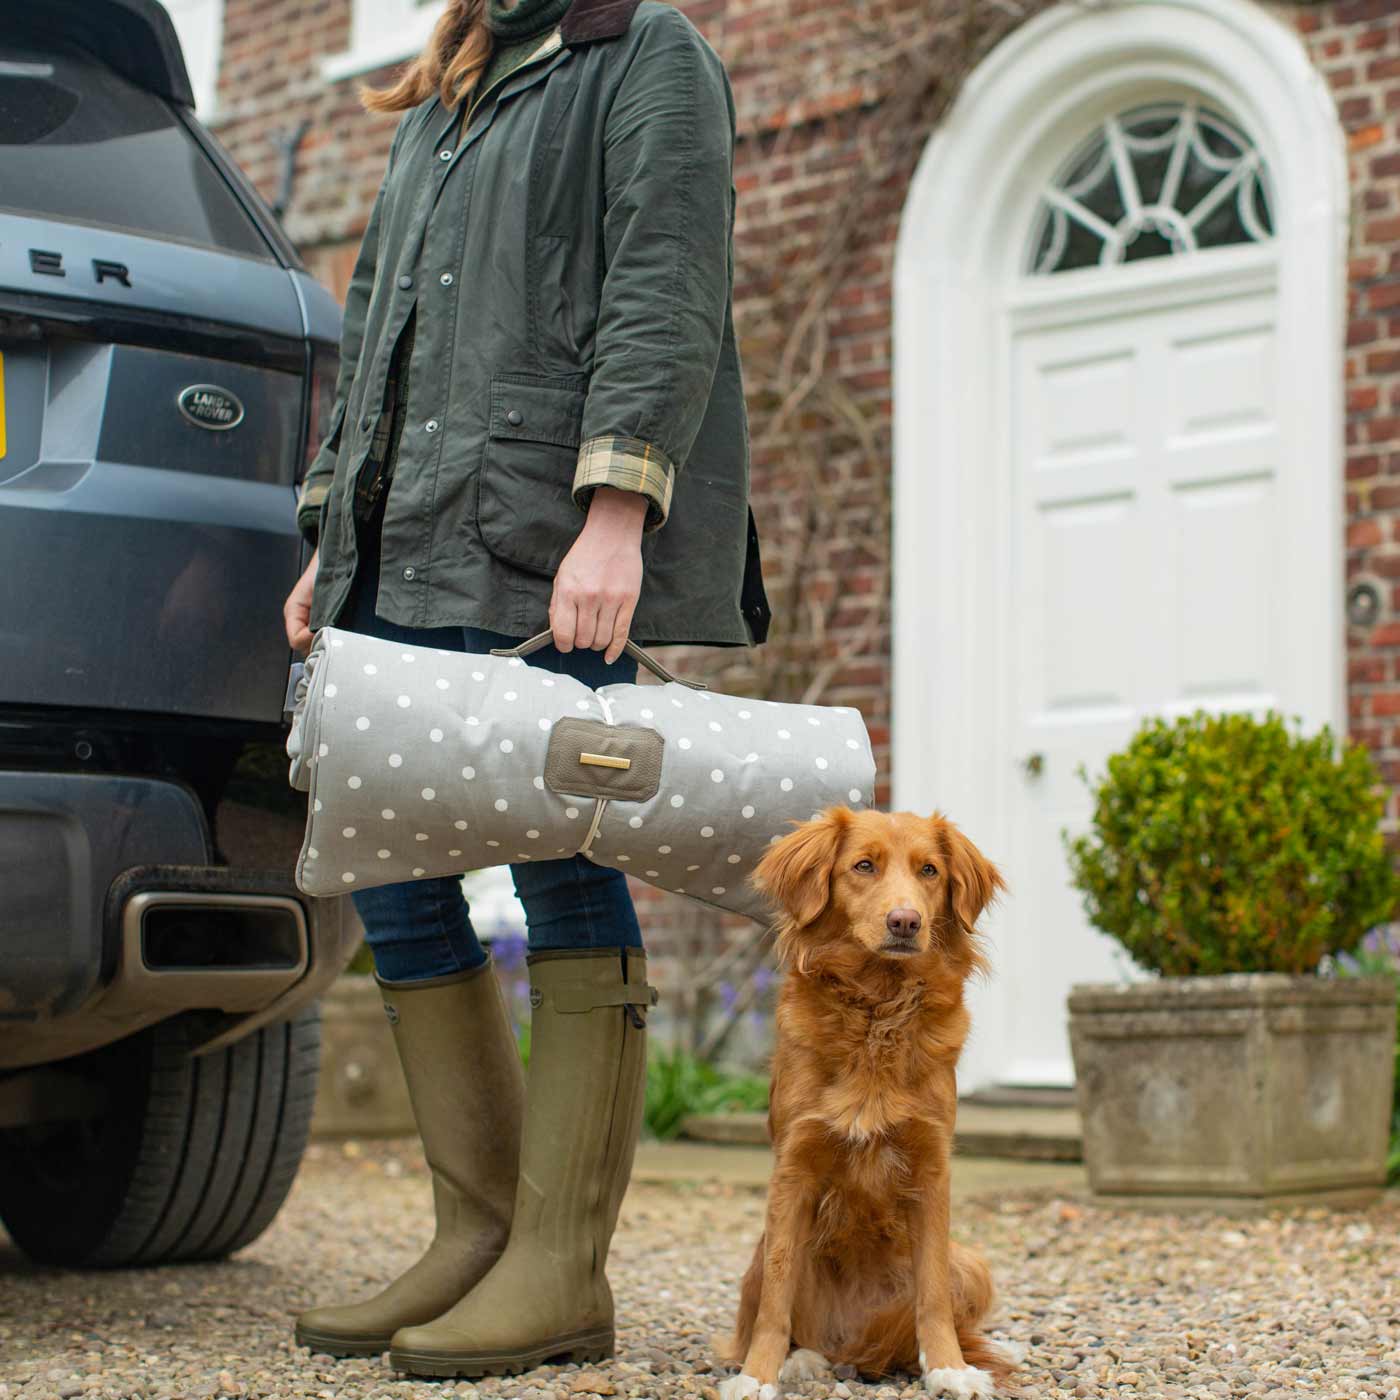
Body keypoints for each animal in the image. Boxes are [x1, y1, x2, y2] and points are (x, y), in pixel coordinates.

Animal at [716, 806, 1013, 1394]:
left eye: (929, 871)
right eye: (863, 866)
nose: (905, 922)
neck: (879, 1006)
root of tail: (855, 1347)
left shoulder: (931, 1167)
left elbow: (932, 1296)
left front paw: (949, 1368)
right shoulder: (794, 1168)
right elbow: (776, 1299)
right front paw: (758, 1375)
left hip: (972, 1263)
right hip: (758, 1256)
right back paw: (802, 1358)